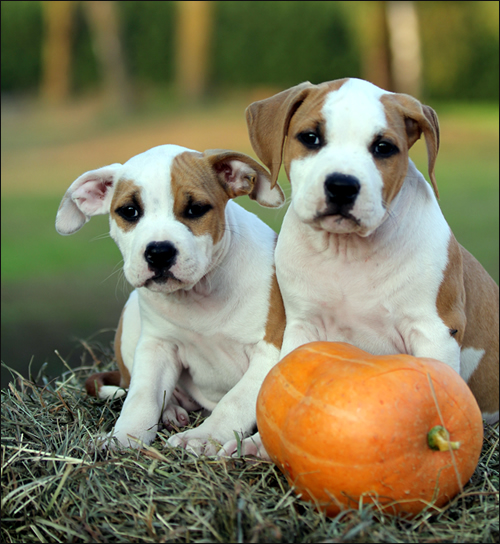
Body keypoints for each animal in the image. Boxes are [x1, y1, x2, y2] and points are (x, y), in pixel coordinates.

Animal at [55, 144, 286, 454]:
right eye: (129, 211)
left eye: (196, 209)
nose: (159, 252)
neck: (200, 294)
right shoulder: (158, 346)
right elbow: (142, 396)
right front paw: (122, 437)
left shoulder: (271, 351)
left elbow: (235, 401)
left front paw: (203, 436)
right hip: (131, 316)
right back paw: (171, 411)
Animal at [244, 77, 498, 424]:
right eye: (310, 138)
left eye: (383, 148)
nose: (341, 186)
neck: (347, 251)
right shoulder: (303, 325)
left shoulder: (435, 330)